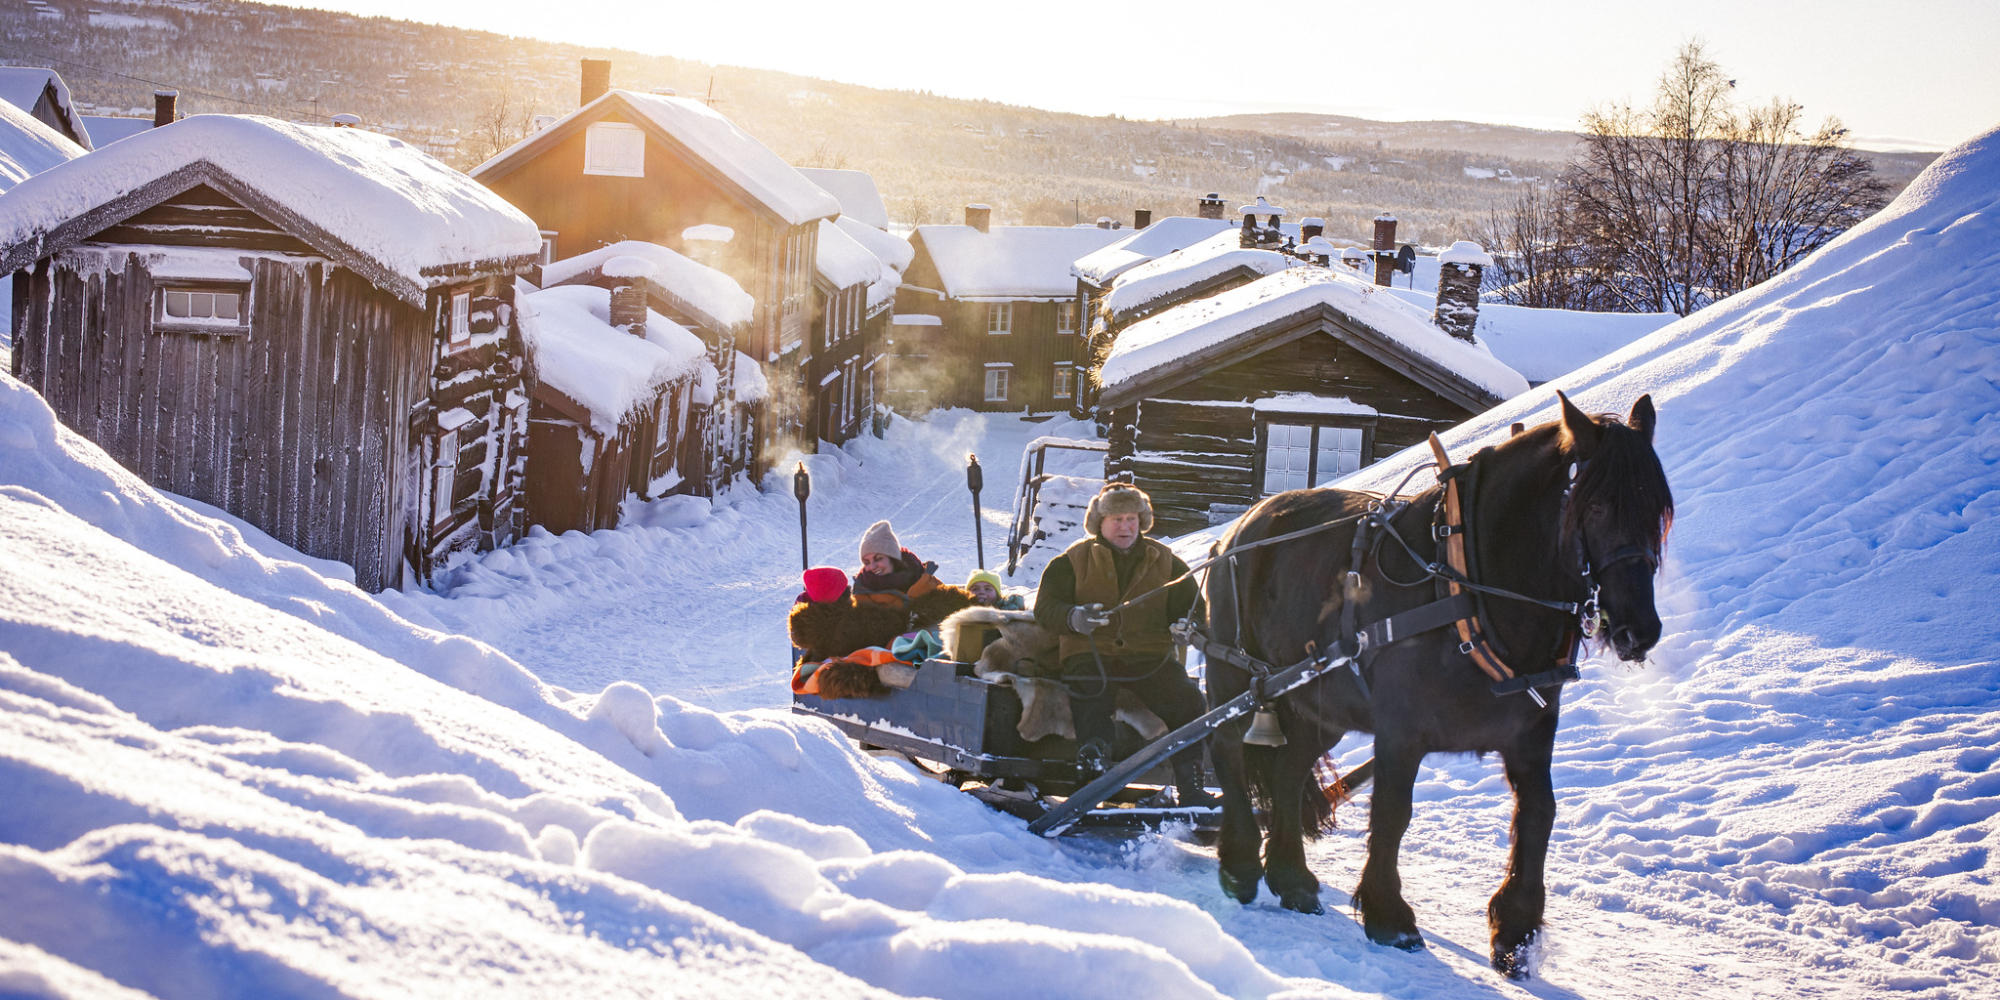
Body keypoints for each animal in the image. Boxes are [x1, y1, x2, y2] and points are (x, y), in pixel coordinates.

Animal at [1200, 390, 1672, 976]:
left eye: (1658, 511)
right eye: (1597, 506)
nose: (1639, 631)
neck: (1469, 589)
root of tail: (1237, 530)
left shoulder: (1529, 735)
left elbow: (1539, 813)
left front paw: (1514, 931)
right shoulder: (1401, 734)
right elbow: (1393, 814)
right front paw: (1389, 916)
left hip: (1317, 701)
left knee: (1288, 771)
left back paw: (1293, 880)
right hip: (1235, 678)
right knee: (1228, 751)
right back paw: (1241, 863)